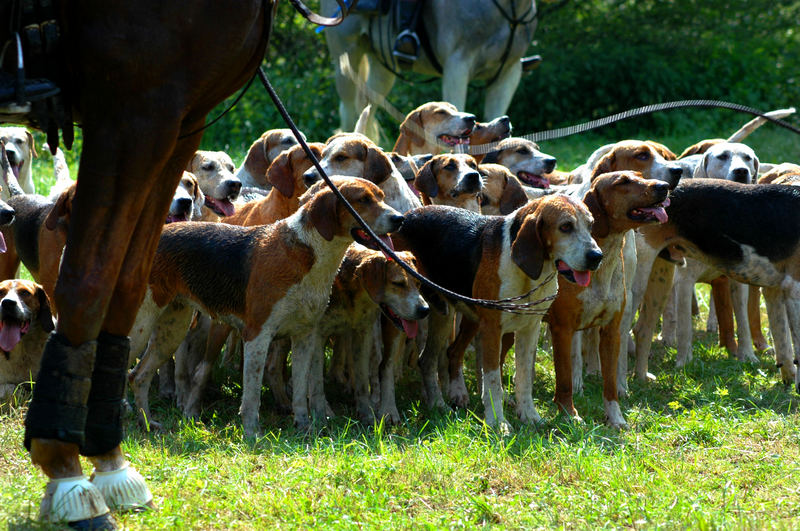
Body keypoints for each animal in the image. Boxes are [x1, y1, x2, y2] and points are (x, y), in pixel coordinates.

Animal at [0, 0, 344, 528]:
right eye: (208, 168)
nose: (228, 187)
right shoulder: (131, 118)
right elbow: (89, 288)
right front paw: (67, 473)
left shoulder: (177, 122)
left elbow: (124, 291)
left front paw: (111, 462)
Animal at [318, 1, 536, 137]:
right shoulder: (457, 67)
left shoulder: (509, 73)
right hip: (347, 56)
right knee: (348, 109)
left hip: (381, 65)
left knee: (368, 105)